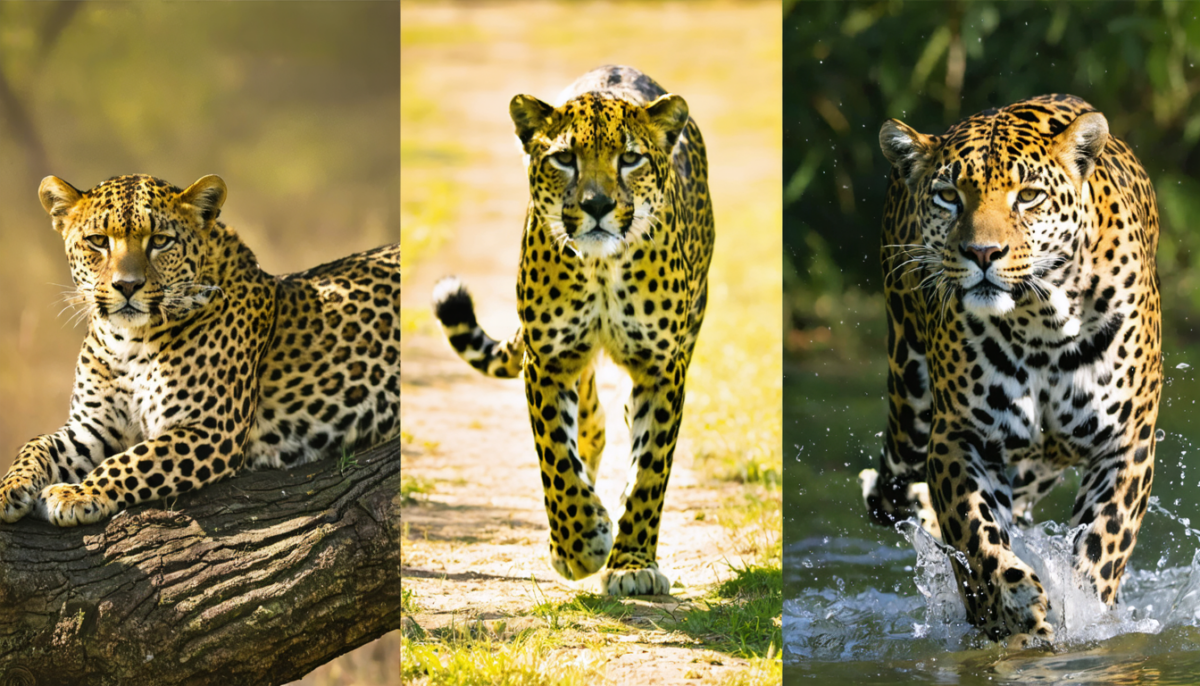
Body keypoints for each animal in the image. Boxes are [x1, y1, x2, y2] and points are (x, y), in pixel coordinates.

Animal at [0, 173, 400, 527]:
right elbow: (36, 444)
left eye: (160, 240)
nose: (127, 286)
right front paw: (9, 489)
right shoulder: (91, 429)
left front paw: (78, 493)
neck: (127, 341)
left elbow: (132, 461)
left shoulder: (210, 428)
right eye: (98, 240)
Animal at [433, 65, 714, 596]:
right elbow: (557, 461)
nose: (598, 205)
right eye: (564, 158)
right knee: (593, 425)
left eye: (630, 158)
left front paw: (632, 563)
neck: (603, 268)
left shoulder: (662, 368)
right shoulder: (548, 361)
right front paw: (580, 543)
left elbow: (650, 469)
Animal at [858, 94, 1162, 643]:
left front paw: (1084, 606)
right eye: (948, 196)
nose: (982, 253)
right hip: (911, 406)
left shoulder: (1126, 441)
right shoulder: (959, 437)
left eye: (1029, 196)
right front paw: (1014, 605)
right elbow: (975, 535)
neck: (1040, 323)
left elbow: (1103, 541)